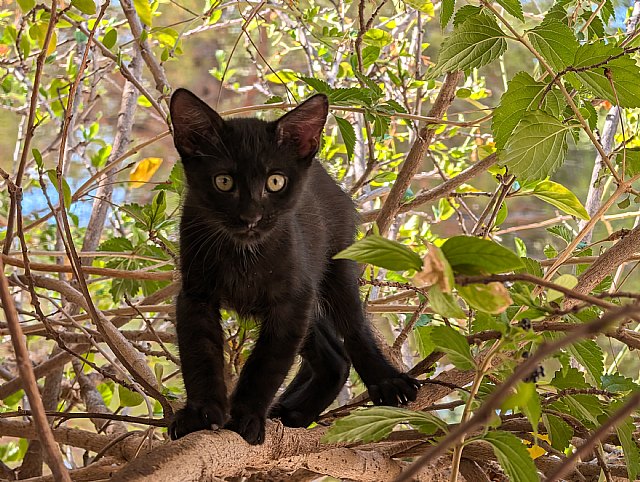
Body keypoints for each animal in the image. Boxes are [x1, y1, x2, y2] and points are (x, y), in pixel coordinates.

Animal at [168, 89, 422, 444]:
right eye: (223, 181)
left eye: (275, 182)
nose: (251, 217)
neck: (244, 254)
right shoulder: (196, 294)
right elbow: (200, 354)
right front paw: (201, 414)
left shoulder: (291, 301)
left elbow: (267, 363)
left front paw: (246, 418)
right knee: (335, 358)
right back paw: (294, 414)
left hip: (332, 270)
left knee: (353, 330)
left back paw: (386, 382)